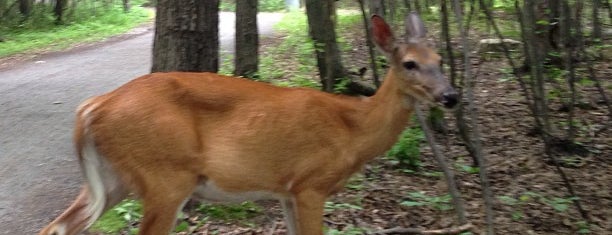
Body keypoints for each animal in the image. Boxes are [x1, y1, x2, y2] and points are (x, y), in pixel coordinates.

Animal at [38, 14, 456, 235]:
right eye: (409, 64)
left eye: (440, 59)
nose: (451, 96)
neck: (353, 130)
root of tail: (93, 106)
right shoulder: (311, 182)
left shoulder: (287, 190)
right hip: (165, 174)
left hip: (115, 179)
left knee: (56, 227)